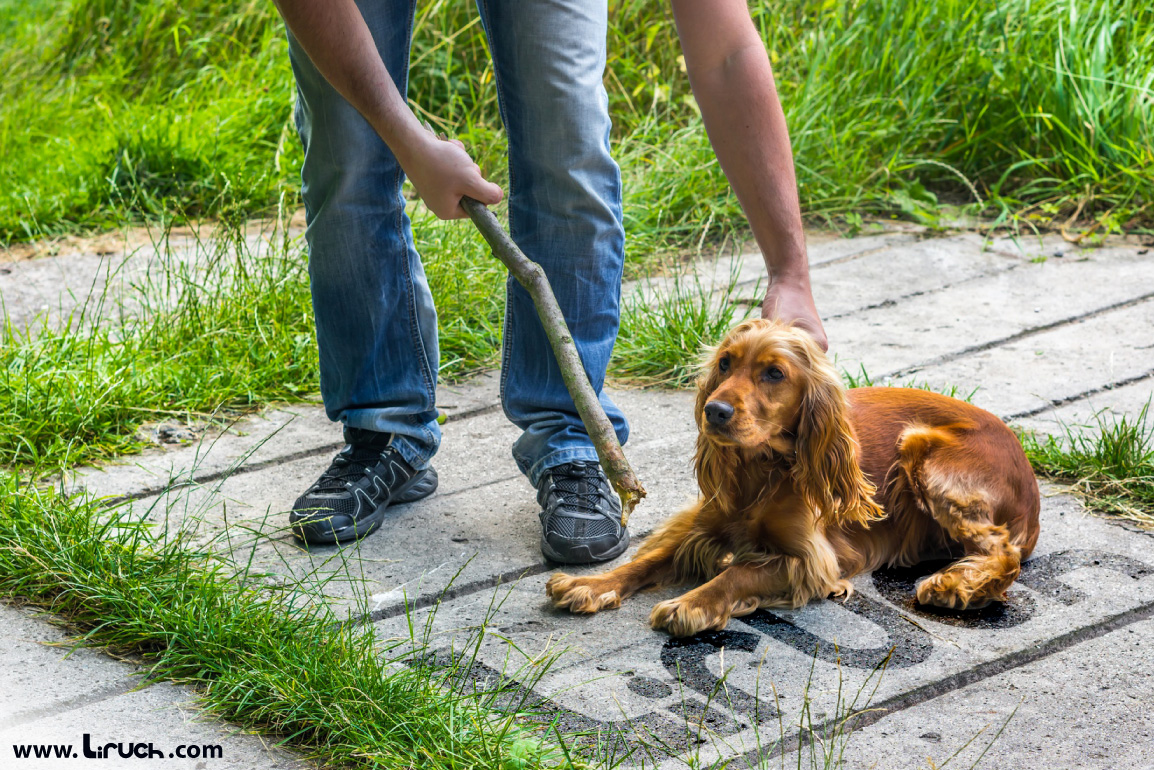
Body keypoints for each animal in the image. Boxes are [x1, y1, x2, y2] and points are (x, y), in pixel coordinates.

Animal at [544, 318, 1043, 637]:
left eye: (774, 373)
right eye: (725, 363)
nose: (714, 411)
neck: (761, 470)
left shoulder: (812, 561)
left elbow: (738, 572)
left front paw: (691, 603)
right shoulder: (703, 527)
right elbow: (648, 560)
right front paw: (591, 584)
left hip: (924, 453)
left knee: (1003, 552)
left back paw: (955, 586)